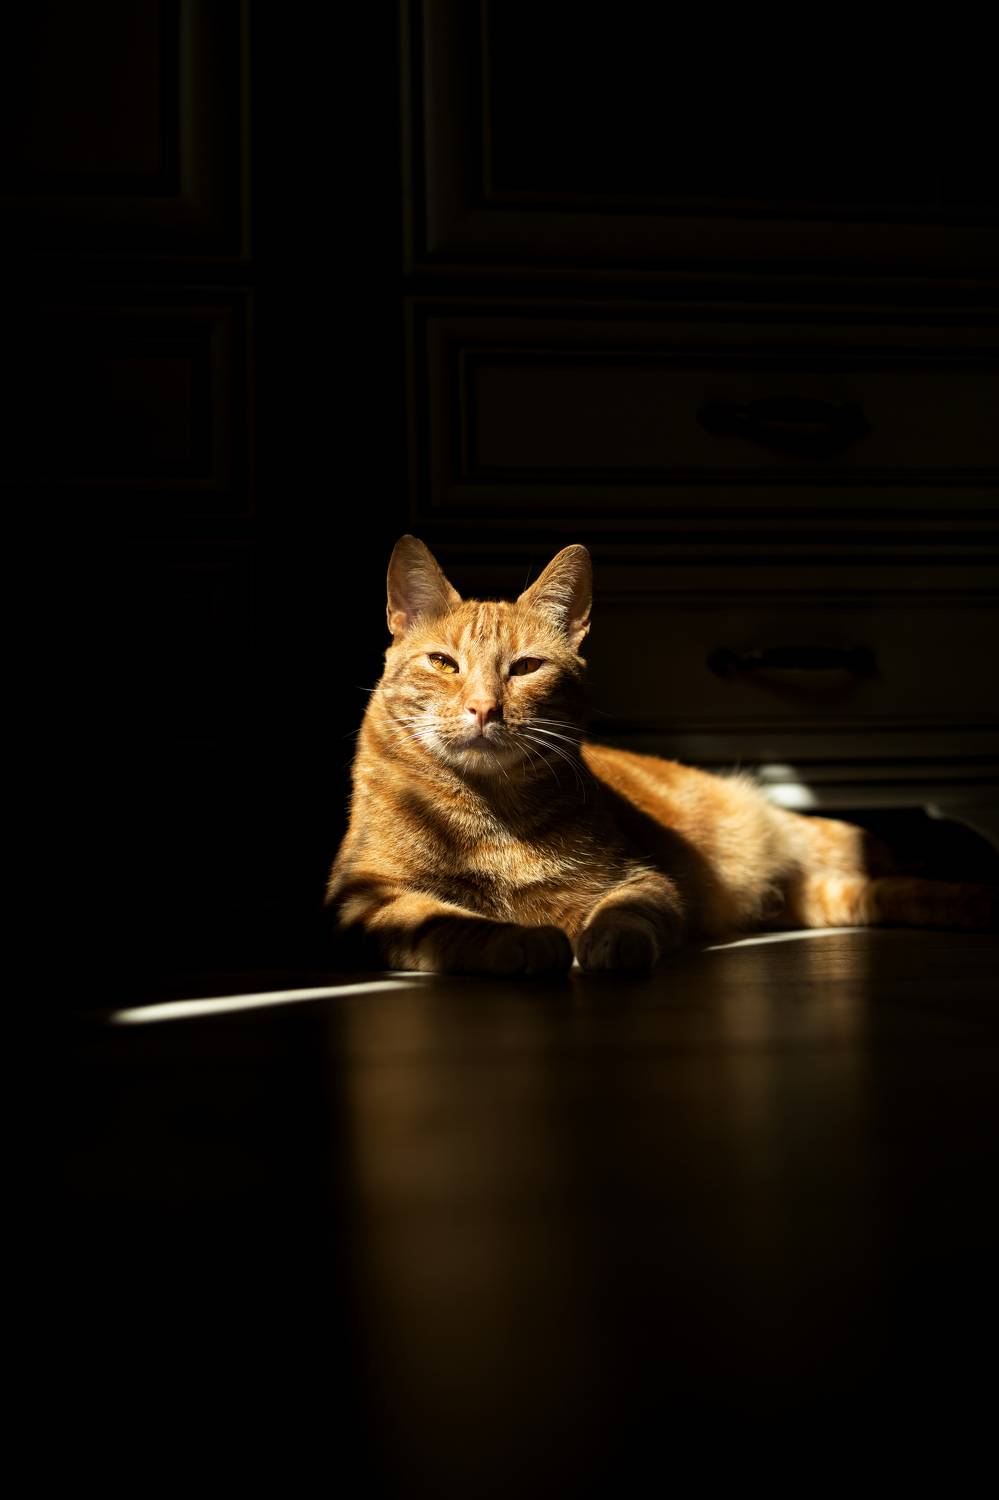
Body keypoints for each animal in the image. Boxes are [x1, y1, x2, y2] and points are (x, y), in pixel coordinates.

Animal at [325, 536, 996, 973]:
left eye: (525, 668)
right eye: (443, 663)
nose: (484, 709)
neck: (488, 815)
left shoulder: (642, 880)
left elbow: (626, 913)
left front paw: (607, 945)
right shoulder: (365, 902)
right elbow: (447, 920)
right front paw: (519, 941)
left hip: (823, 842)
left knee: (894, 854)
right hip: (825, 895)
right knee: (883, 889)